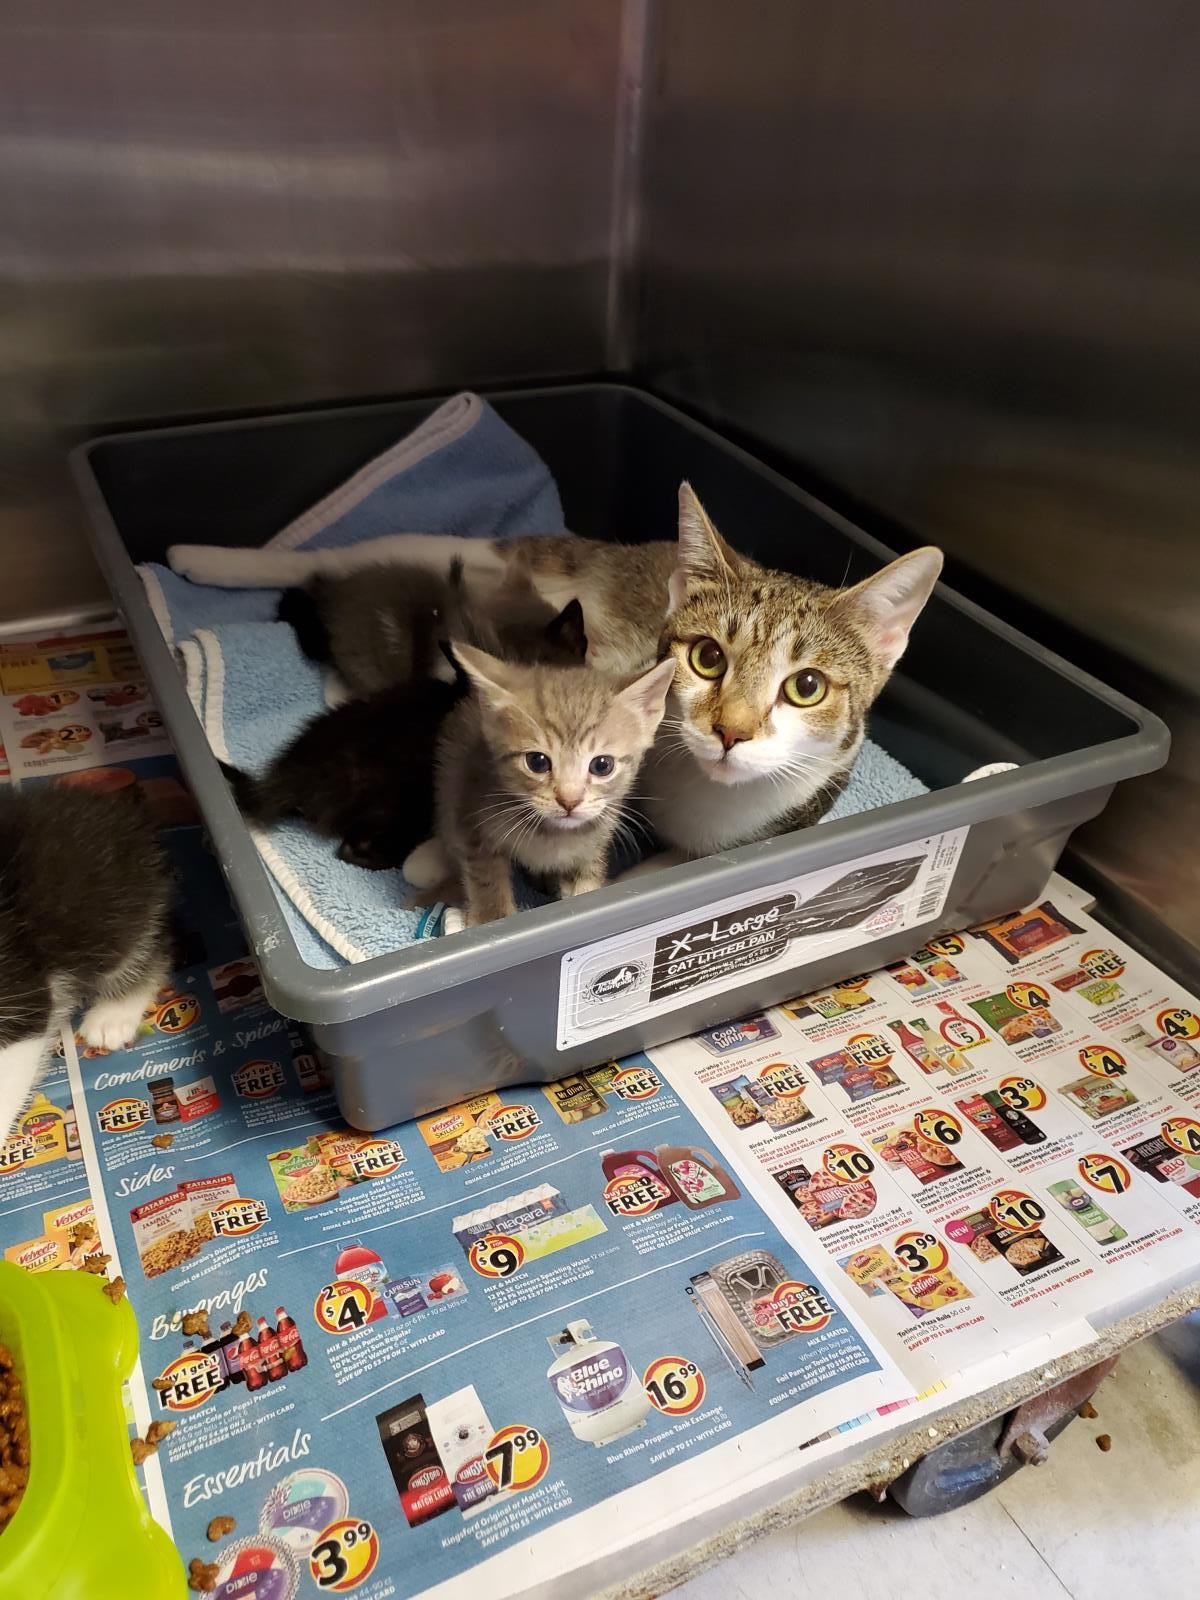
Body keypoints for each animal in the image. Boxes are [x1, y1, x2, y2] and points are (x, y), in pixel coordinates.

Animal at [169, 486, 947, 864]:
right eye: (707, 658)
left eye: (805, 687)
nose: (730, 731)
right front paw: (433, 861)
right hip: (501, 551)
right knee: (343, 551)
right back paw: (203, 558)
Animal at [428, 646, 678, 934]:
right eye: (537, 762)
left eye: (602, 765)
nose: (569, 801)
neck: (552, 835)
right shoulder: (469, 815)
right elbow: (485, 874)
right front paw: (490, 918)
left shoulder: (595, 842)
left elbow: (587, 882)